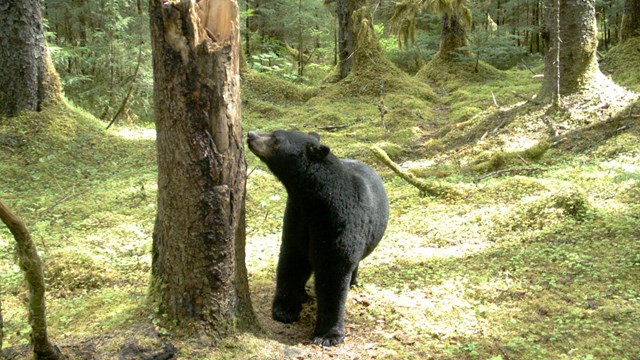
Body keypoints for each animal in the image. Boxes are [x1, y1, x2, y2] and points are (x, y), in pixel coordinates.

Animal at [246, 129, 388, 346]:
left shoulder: (339, 223)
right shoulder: (298, 217)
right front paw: (285, 309)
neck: (316, 201)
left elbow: (333, 272)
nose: (250, 134)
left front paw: (328, 335)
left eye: (276, 137)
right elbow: (293, 257)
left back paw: (353, 282)